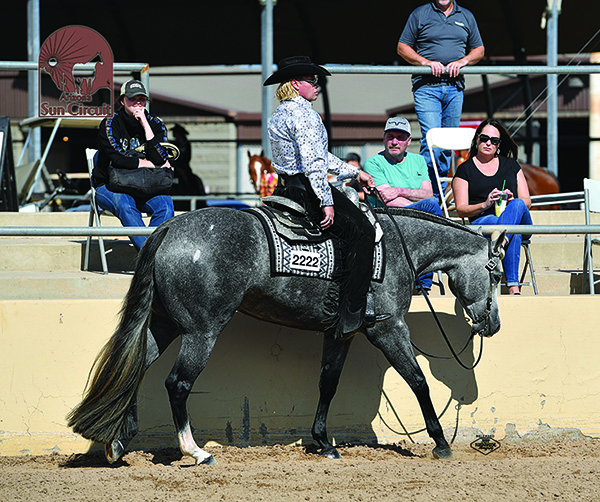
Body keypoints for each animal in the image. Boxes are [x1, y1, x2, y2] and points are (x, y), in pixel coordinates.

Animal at [67, 207, 506, 462]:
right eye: (497, 273)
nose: (493, 324)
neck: (399, 248)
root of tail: (171, 226)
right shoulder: (387, 327)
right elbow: (417, 380)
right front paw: (441, 443)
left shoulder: (340, 334)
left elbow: (328, 383)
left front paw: (323, 443)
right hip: (201, 330)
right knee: (177, 383)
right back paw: (194, 451)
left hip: (163, 323)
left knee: (136, 369)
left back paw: (117, 440)